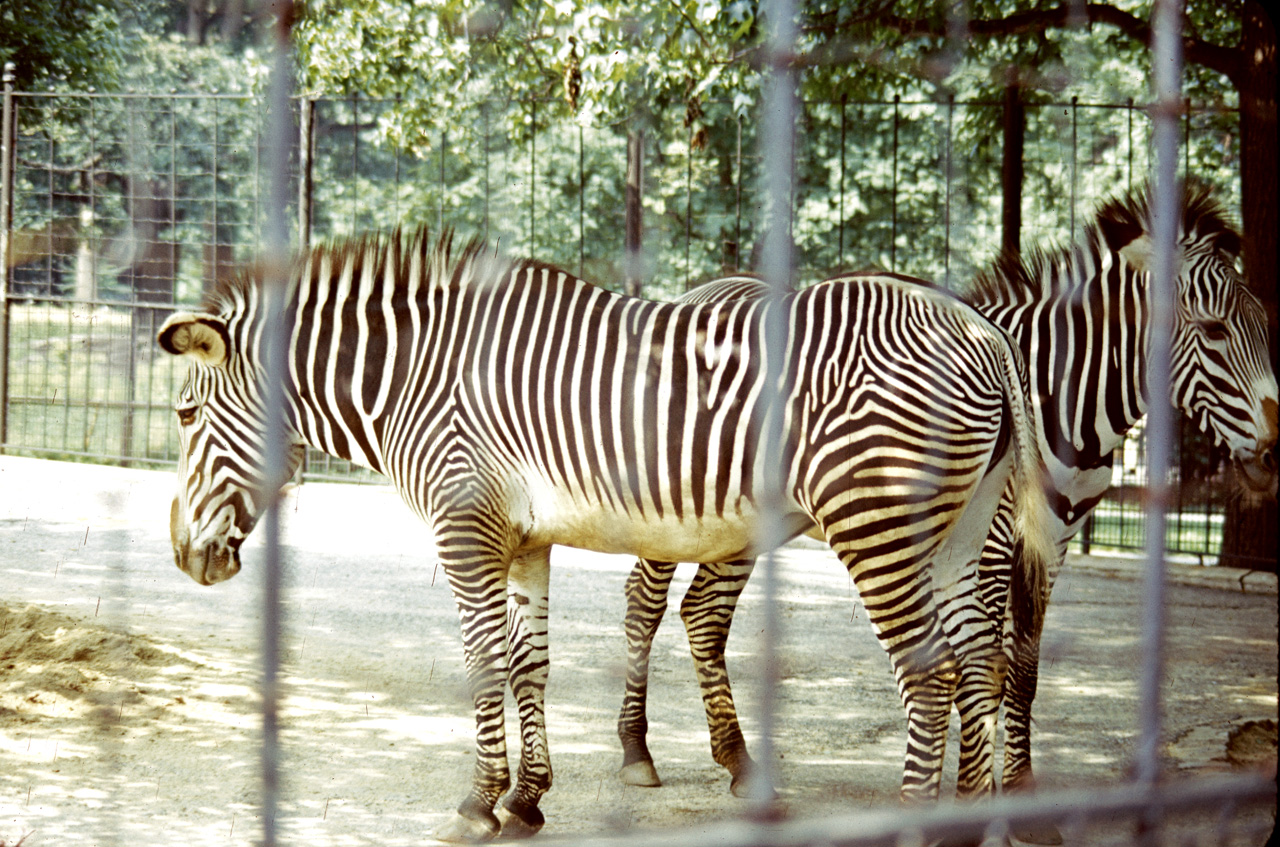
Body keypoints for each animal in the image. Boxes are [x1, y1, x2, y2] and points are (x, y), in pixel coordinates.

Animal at [152, 230, 1049, 844]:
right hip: (958, 529)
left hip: (877, 521)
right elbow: (529, 663)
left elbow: (483, 663)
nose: (184, 558)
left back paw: (918, 823)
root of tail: (979, 328)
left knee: (931, 676)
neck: (418, 378)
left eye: (185, 414)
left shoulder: (465, 527)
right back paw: (968, 822)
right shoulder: (522, 539)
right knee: (979, 664)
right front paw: (527, 797)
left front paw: (478, 803)